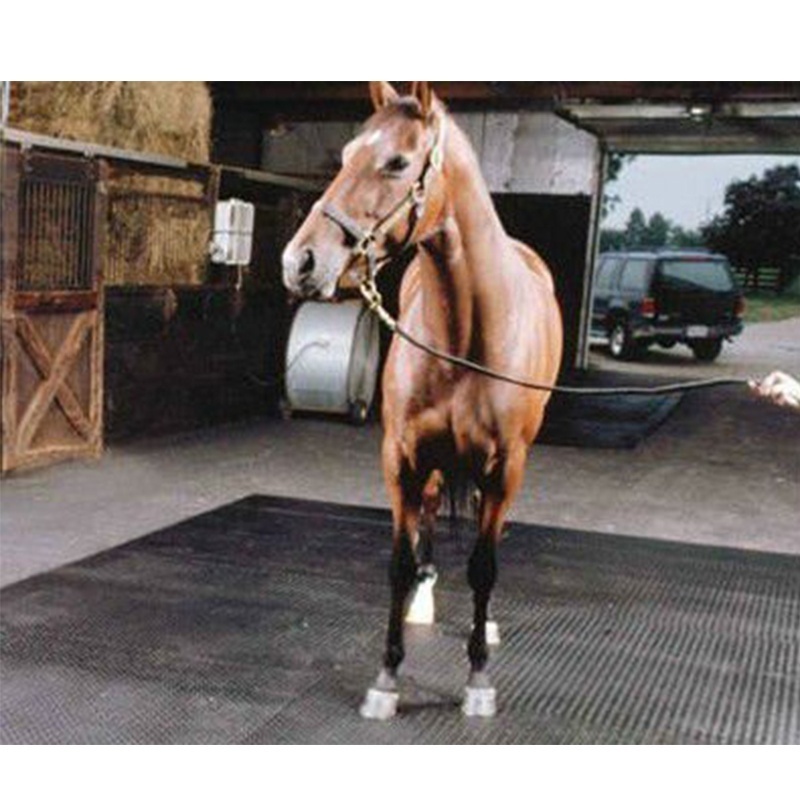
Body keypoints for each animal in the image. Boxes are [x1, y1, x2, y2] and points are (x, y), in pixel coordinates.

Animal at [282, 81, 564, 720]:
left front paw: (478, 678)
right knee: (432, 517)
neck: (469, 334)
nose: (299, 262)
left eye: (397, 162)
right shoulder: (402, 458)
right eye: (345, 155)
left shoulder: (505, 467)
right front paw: (387, 677)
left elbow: (484, 565)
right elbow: (399, 562)